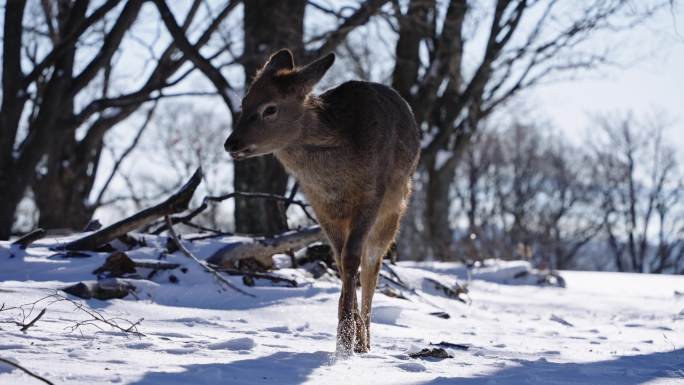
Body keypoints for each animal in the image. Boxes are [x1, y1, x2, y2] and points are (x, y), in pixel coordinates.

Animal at [224, 48, 420, 356]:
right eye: (244, 102)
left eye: (270, 108)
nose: (231, 143)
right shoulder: (320, 207)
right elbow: (340, 261)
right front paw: (344, 337)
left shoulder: (371, 195)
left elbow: (353, 259)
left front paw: (346, 340)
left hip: (393, 210)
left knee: (373, 265)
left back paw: (365, 341)